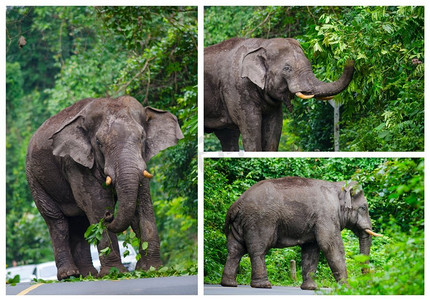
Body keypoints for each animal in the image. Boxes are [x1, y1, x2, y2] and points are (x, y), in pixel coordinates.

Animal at [25, 95, 183, 278]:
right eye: (99, 143)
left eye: (142, 136)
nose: (109, 215)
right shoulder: (75, 163)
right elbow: (97, 204)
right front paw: (115, 273)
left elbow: (143, 204)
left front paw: (151, 269)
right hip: (34, 179)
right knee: (58, 222)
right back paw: (69, 275)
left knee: (80, 224)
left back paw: (88, 275)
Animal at [220, 177, 382, 290]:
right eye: (363, 208)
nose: (366, 285)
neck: (338, 186)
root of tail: (235, 205)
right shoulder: (326, 215)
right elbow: (330, 245)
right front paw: (347, 288)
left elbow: (312, 250)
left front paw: (311, 288)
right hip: (260, 221)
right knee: (258, 250)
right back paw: (263, 285)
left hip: (240, 224)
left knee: (235, 250)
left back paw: (229, 284)